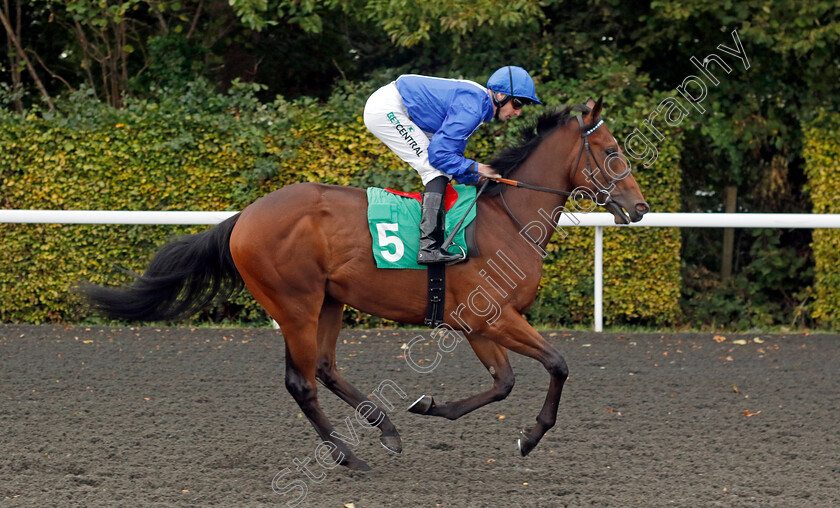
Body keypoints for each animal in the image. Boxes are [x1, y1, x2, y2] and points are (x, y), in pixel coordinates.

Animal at [82, 97, 648, 470]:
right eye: (612, 151)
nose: (640, 207)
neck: (507, 219)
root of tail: (245, 216)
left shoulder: (478, 323)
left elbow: (503, 382)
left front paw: (429, 406)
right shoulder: (491, 316)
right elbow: (558, 364)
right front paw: (530, 438)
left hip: (330, 302)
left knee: (326, 368)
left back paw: (388, 431)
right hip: (295, 305)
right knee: (302, 381)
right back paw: (347, 455)